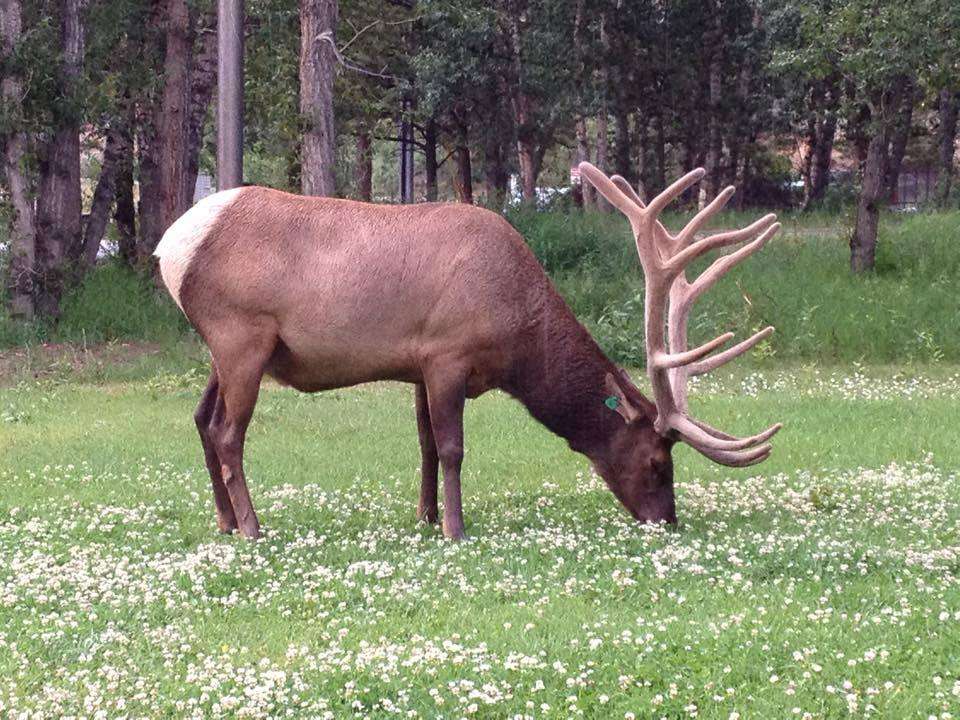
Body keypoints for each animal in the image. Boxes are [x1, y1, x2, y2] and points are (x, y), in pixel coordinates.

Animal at [156, 160, 780, 536]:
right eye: (657, 463)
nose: (666, 521)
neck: (516, 333)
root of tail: (169, 247)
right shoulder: (446, 354)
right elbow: (453, 448)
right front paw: (456, 529)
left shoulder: (416, 365)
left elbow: (426, 446)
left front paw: (427, 517)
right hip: (241, 336)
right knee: (228, 433)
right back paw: (253, 526)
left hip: (224, 349)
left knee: (200, 419)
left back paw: (224, 521)